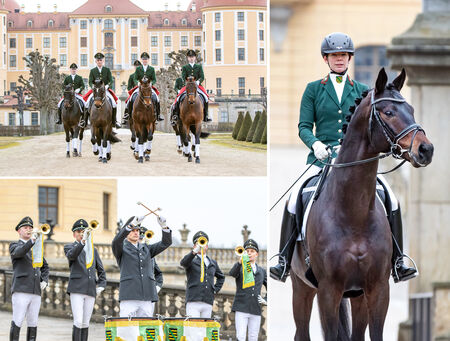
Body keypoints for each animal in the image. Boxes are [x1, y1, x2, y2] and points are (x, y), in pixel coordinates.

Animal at [290, 67, 434, 338]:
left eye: (411, 109)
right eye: (388, 112)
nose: (426, 150)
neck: (353, 213)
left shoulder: (377, 290)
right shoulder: (328, 291)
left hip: (356, 297)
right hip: (301, 288)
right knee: (301, 332)